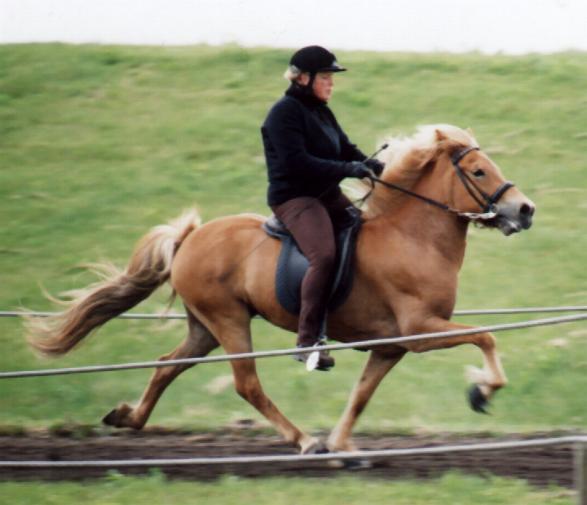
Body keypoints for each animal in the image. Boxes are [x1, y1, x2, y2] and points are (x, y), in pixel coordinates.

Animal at [25, 125, 536, 452]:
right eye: (479, 171)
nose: (525, 209)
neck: (412, 238)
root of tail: (190, 237)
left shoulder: (390, 346)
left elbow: (362, 394)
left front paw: (345, 447)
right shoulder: (421, 330)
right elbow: (486, 337)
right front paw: (482, 391)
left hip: (205, 326)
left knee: (168, 365)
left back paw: (127, 418)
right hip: (229, 320)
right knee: (246, 384)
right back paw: (303, 440)